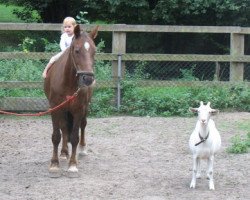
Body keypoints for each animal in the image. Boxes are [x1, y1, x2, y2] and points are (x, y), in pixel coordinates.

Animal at [43, 25, 98, 177]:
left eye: (94, 51)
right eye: (77, 50)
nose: (88, 79)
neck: (67, 81)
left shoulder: (78, 109)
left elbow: (74, 137)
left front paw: (73, 165)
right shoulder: (55, 108)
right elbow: (56, 136)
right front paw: (54, 164)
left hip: (85, 108)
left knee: (83, 125)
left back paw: (82, 149)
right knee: (64, 127)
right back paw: (63, 153)